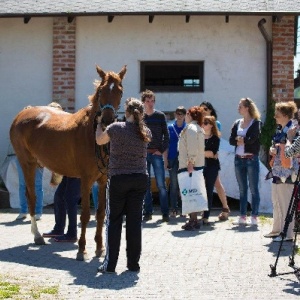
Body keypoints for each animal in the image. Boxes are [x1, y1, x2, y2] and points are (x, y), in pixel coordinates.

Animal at [9, 65, 126, 260]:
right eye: (101, 90)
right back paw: (37, 236)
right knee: (31, 196)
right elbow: (85, 214)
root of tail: (22, 114)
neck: (91, 133)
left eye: (120, 91)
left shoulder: (102, 181)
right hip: (27, 164)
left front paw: (100, 248)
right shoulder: (86, 180)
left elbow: (101, 213)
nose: (108, 120)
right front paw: (82, 250)